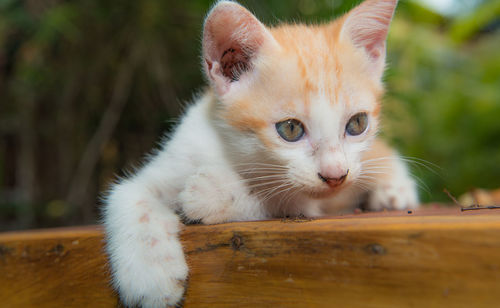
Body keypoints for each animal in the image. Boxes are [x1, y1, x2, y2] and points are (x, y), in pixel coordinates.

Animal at [103, 0, 420, 306]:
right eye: (290, 129)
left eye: (357, 124)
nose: (336, 176)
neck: (232, 154)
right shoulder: (183, 149)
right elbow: (128, 195)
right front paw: (150, 277)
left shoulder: (308, 203)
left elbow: (279, 198)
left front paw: (211, 193)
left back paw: (394, 191)